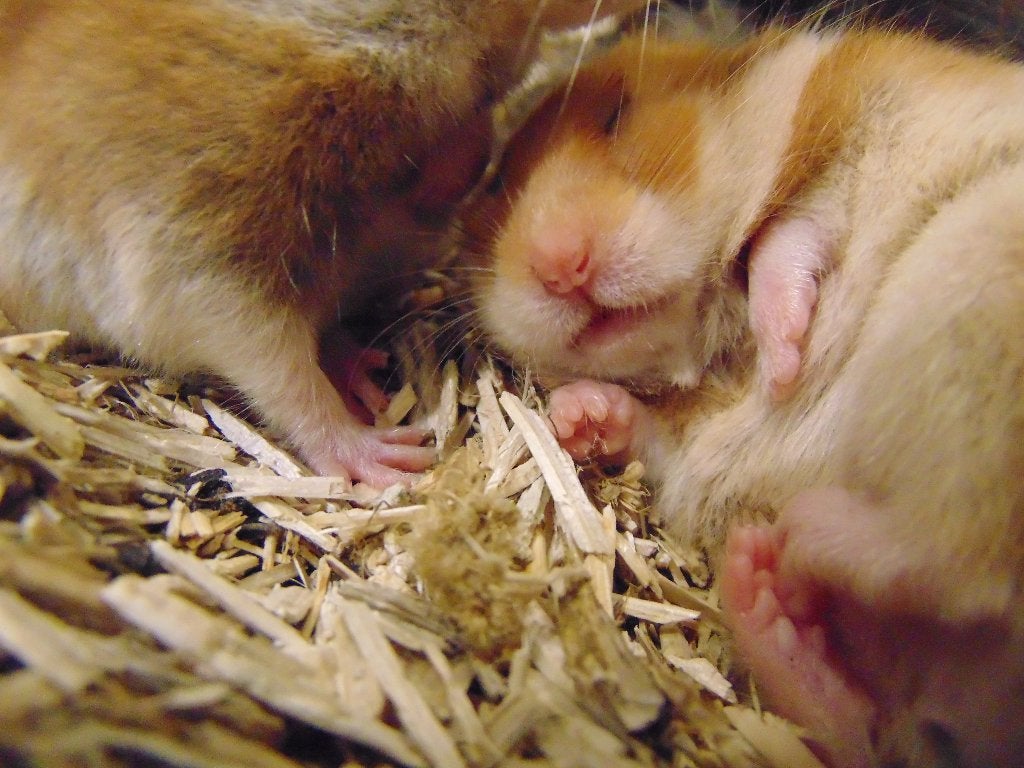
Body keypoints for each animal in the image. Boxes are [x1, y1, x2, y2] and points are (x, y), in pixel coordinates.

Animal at [465, 28, 1024, 767]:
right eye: (498, 187)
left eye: (617, 115)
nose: (561, 265)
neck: (712, 355)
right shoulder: (681, 451)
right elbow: (646, 429)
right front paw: (577, 416)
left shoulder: (847, 130)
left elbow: (783, 242)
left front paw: (788, 358)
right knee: (868, 729)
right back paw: (761, 582)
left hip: (970, 271)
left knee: (962, 572)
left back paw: (801, 529)